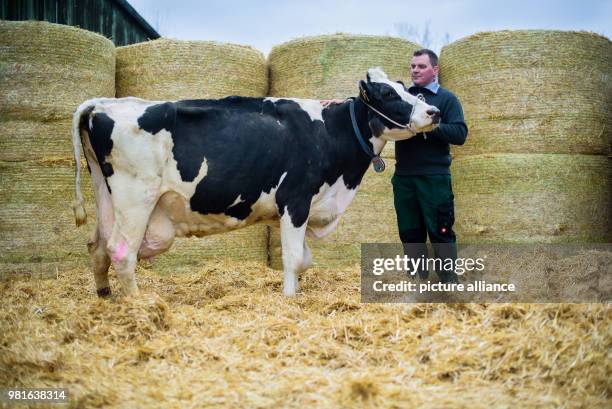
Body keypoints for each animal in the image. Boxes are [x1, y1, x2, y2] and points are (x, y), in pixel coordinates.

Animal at [73, 67, 440, 296]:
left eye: (407, 89)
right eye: (388, 94)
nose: (434, 112)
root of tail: (105, 103)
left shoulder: (291, 209)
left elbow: (303, 257)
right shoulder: (295, 199)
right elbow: (293, 257)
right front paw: (290, 298)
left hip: (105, 196)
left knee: (97, 246)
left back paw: (105, 296)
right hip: (136, 198)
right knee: (121, 252)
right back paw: (139, 304)